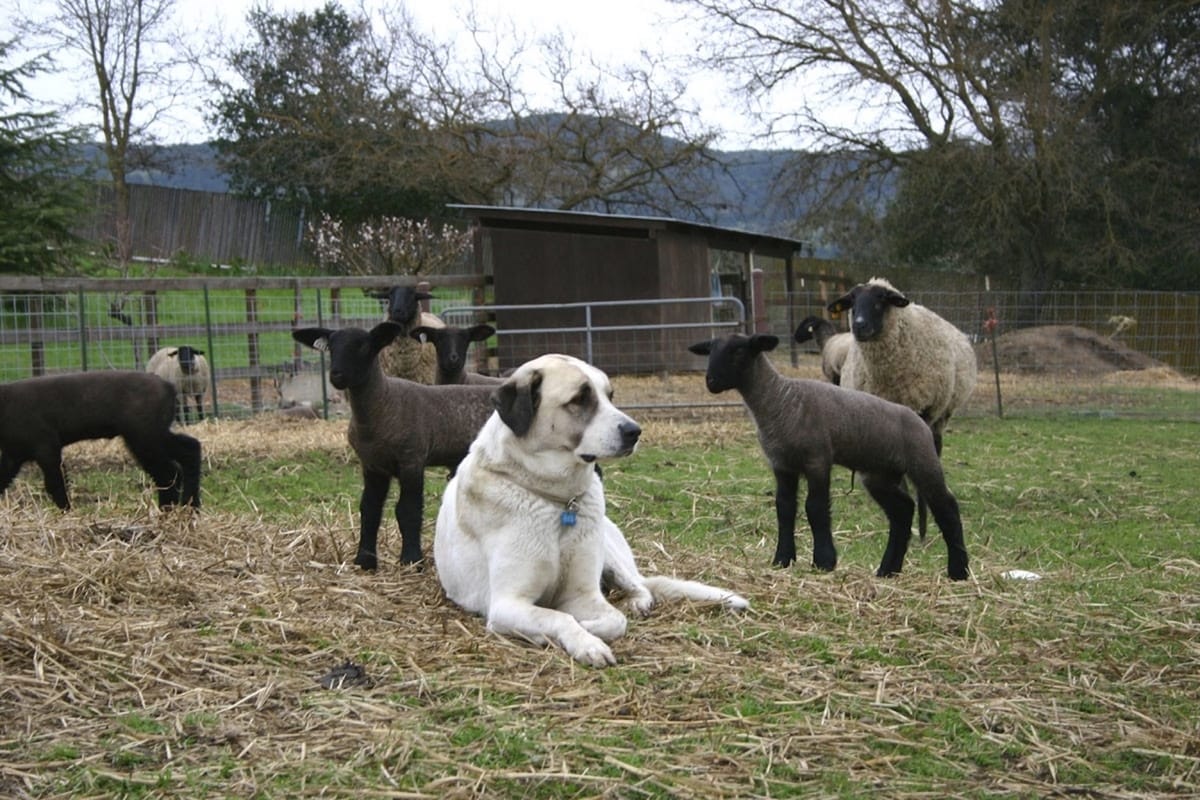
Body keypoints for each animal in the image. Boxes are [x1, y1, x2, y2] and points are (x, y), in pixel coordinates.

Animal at [432, 352, 748, 666]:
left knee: (643, 587)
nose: (635, 431)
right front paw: (583, 642)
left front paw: (589, 629)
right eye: (580, 399)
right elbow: (559, 617)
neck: (559, 501)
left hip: (610, 555)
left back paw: (637, 602)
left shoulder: (583, 595)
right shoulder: (507, 603)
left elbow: (614, 619)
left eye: (610, 395)